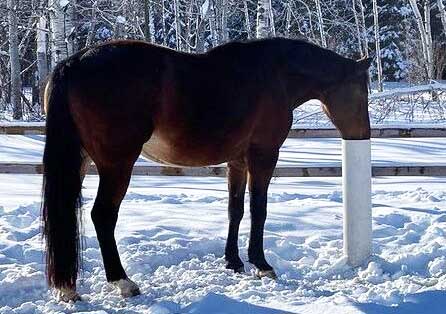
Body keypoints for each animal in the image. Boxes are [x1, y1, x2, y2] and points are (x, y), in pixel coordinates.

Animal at [41, 37, 372, 302]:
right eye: (362, 92)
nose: (363, 135)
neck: (276, 74)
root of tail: (73, 63)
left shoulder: (237, 161)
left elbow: (235, 209)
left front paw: (234, 262)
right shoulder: (264, 155)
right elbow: (259, 208)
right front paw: (262, 265)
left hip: (79, 162)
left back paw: (68, 289)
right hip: (117, 165)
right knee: (102, 216)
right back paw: (123, 283)